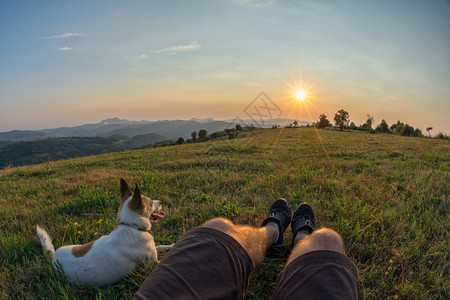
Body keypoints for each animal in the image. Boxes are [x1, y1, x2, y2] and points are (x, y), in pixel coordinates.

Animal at [36, 178, 173, 286]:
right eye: (151, 203)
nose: (161, 201)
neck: (131, 226)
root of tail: (53, 257)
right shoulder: (153, 262)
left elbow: (161, 246)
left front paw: (171, 245)